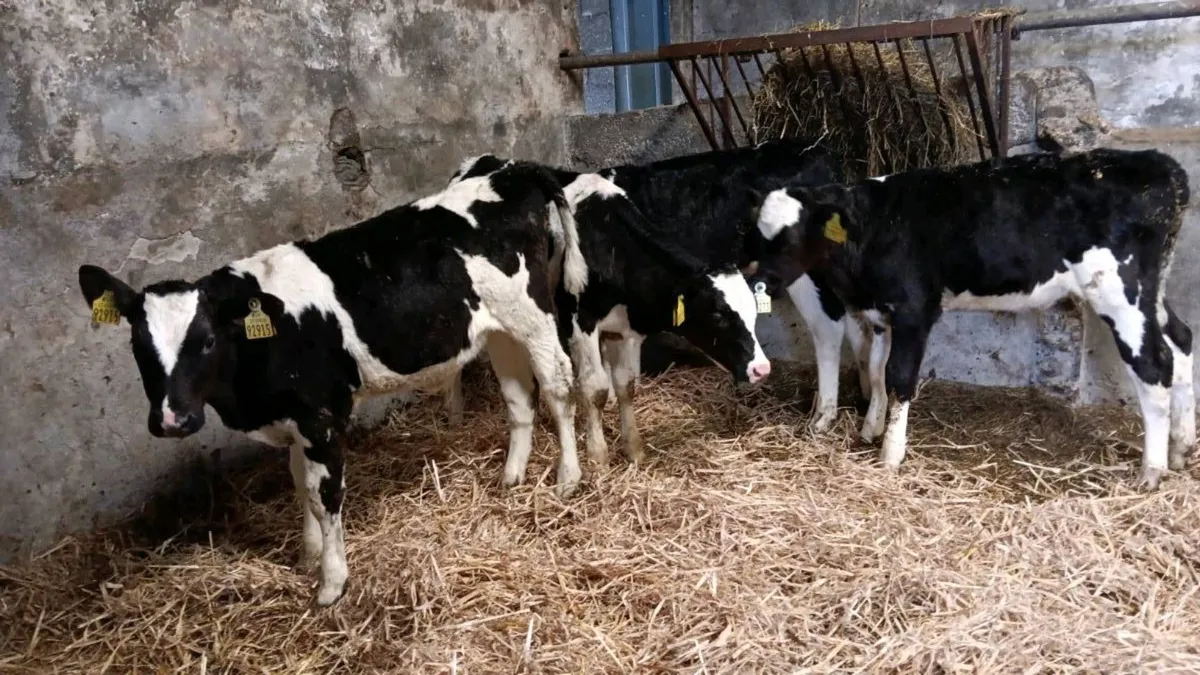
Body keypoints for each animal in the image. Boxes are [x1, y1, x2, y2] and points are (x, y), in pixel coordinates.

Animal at [77, 161, 589, 606]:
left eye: (205, 341)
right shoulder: (292, 421)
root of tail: (511, 171)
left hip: (534, 316)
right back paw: (511, 477)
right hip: (500, 329)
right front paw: (309, 556)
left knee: (558, 387)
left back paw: (568, 477)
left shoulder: (320, 416)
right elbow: (300, 486)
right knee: (519, 398)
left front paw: (331, 582)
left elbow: (325, 498)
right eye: (137, 344)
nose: (172, 419)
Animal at [743, 147, 1195, 489]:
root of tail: (1159, 164)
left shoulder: (915, 311)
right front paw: (870, 429)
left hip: (1121, 295)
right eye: (755, 233)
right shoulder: (882, 313)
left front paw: (890, 453)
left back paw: (1152, 470)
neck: (872, 230)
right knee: (1182, 341)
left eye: (793, 234)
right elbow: (874, 370)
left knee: (1155, 364)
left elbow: (898, 378)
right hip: (1151, 294)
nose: (758, 278)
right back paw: (1182, 447)